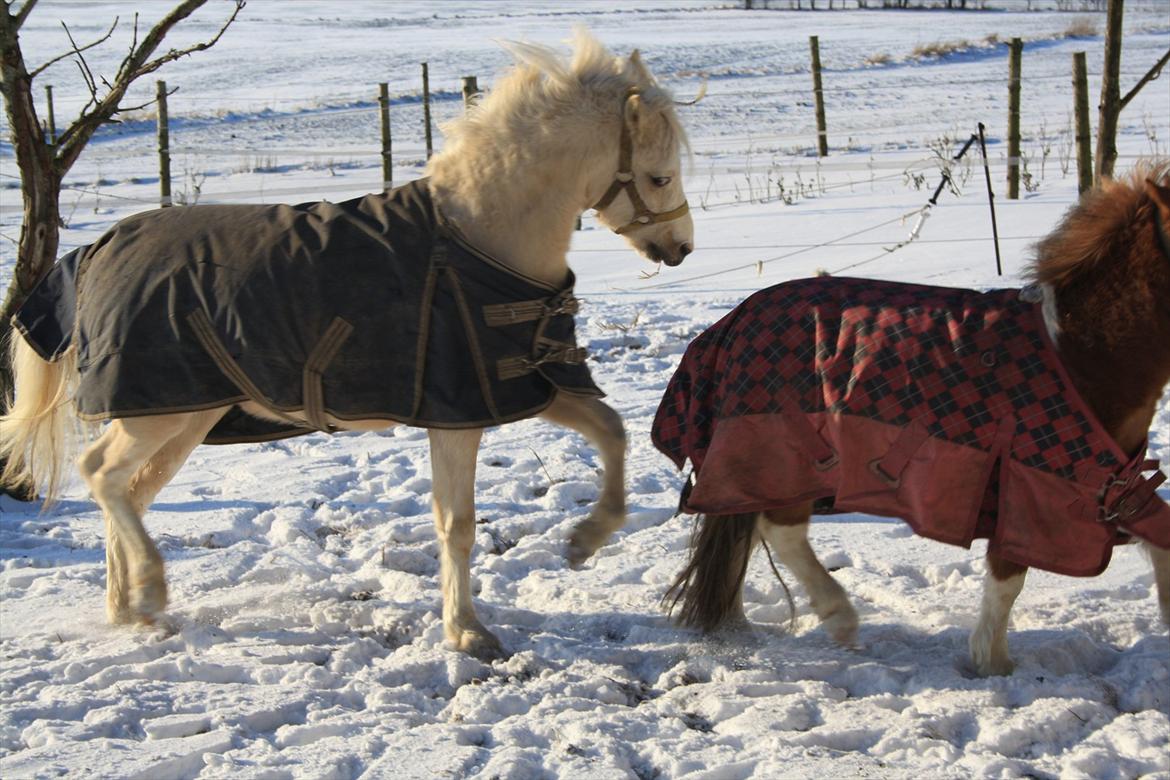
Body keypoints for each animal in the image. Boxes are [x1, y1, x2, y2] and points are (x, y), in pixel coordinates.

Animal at [0, 32, 692, 664]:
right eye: (659, 175)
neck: (478, 239)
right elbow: (457, 524)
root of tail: (100, 246)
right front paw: (467, 633)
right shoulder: (458, 414)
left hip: (182, 417)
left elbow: (610, 433)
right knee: (101, 474)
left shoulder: (526, 387)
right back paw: (148, 589)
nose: (682, 247)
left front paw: (585, 541)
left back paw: (130, 610)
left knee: (128, 489)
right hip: (163, 412)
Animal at [664, 163, 1165, 678]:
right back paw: (838, 617)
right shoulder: (1026, 494)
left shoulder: (1113, 492)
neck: (1079, 350)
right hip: (785, 457)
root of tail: (733, 322)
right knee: (780, 529)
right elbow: (1008, 580)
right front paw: (993, 663)